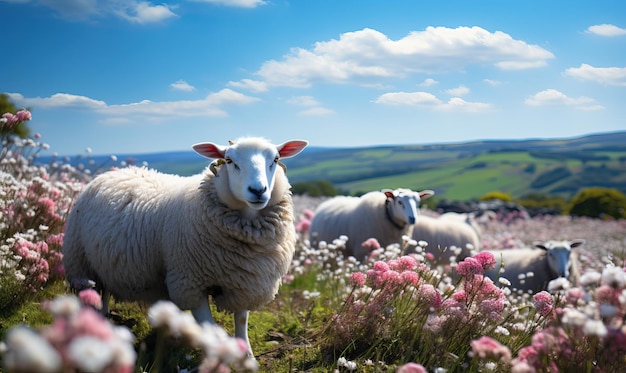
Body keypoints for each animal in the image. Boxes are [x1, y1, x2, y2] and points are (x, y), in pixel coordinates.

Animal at [61, 136, 308, 354]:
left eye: (275, 159)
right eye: (229, 160)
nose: (258, 190)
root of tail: (112, 172)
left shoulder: (245, 280)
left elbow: (241, 320)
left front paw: (247, 355)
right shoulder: (190, 283)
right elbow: (210, 328)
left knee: (104, 293)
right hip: (81, 265)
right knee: (94, 294)